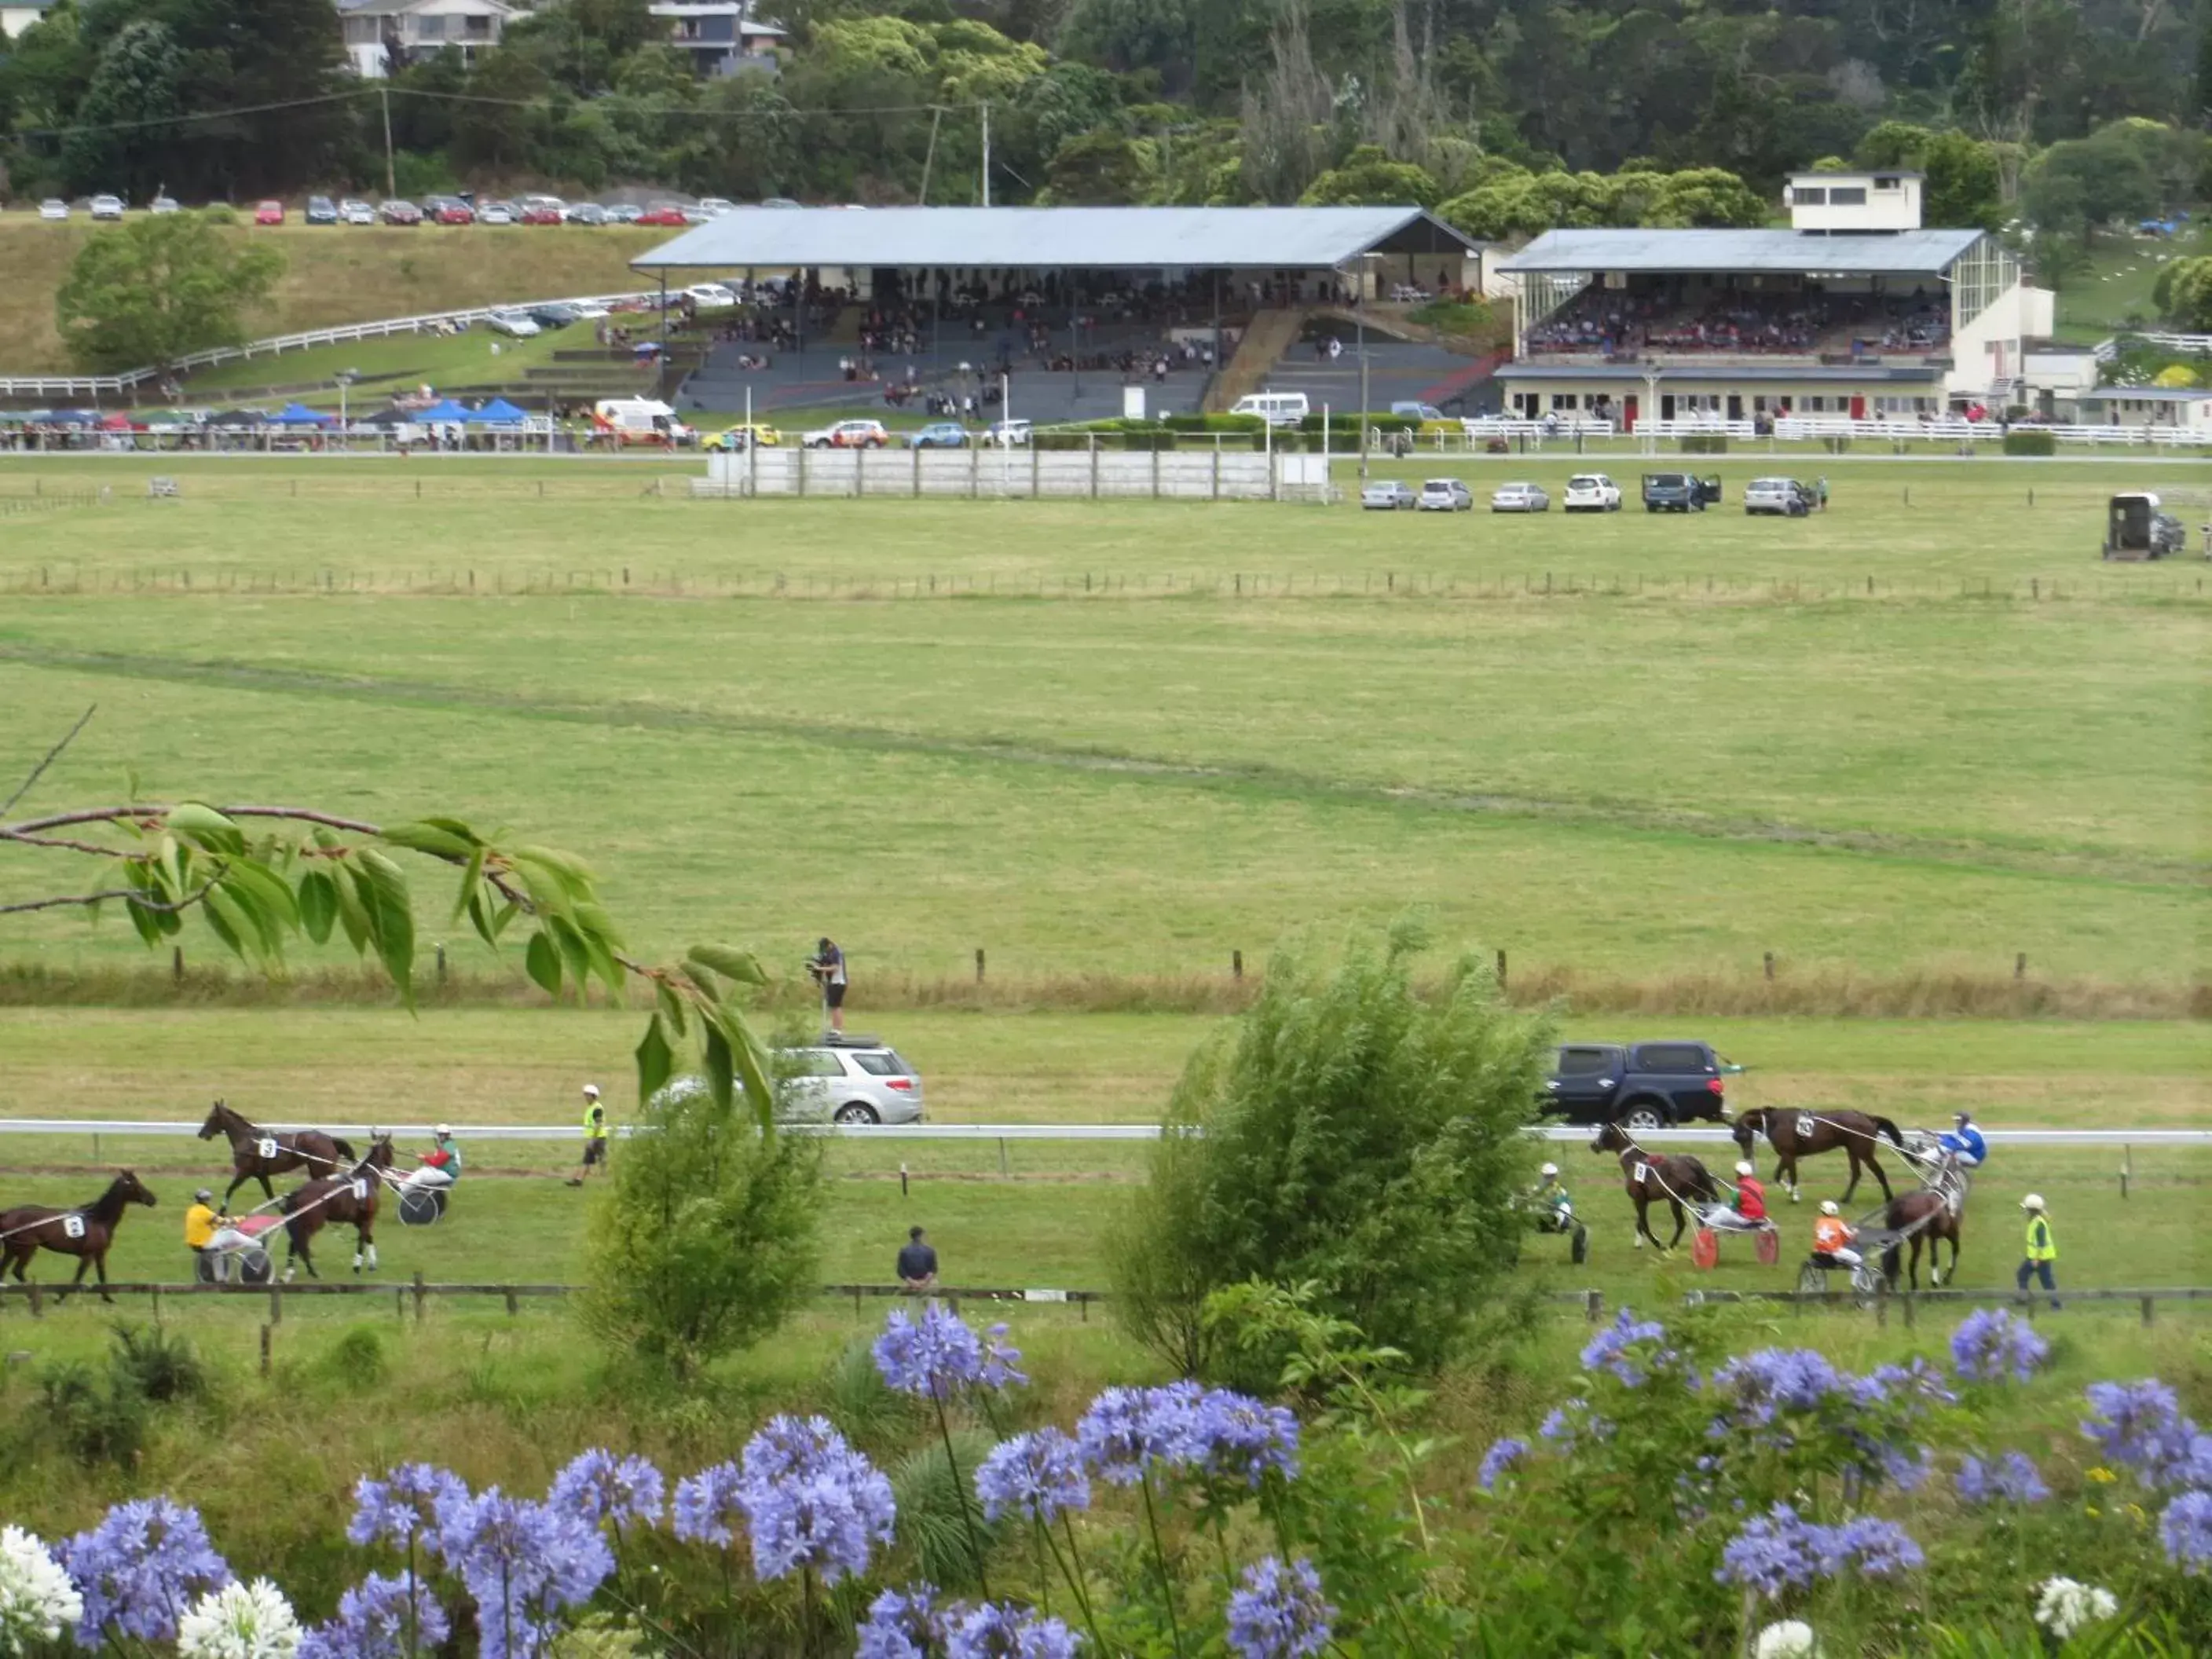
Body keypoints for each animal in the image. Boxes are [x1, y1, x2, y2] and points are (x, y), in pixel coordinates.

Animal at [0, 1177, 158, 1309]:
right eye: (136, 1184)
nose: (153, 1199)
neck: (98, 1220)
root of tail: (7, 1214)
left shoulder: (99, 1253)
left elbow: (102, 1275)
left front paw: (108, 1298)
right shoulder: (88, 1255)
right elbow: (77, 1278)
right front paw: (59, 1299)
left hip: (11, 1248)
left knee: (4, 1269)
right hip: (28, 1248)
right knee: (18, 1271)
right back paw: (32, 1296)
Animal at [201, 1106, 356, 1212]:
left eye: (212, 1117)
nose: (201, 1134)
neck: (249, 1140)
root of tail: (329, 1139)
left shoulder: (244, 1172)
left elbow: (230, 1189)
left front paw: (221, 1212)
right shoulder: (261, 1175)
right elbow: (271, 1196)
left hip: (321, 1169)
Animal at [280, 1141, 394, 1283]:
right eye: (391, 1149)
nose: (392, 1164)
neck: (367, 1179)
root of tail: (297, 1192)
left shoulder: (360, 1221)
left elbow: (368, 1238)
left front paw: (372, 1264)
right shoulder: (368, 1219)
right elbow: (362, 1242)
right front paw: (357, 1267)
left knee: (294, 1244)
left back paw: (289, 1273)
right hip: (311, 1224)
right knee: (300, 1244)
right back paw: (313, 1272)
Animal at [1592, 1123, 1725, 1256]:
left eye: (1604, 1133)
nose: (1593, 1145)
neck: (1635, 1162)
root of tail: (1692, 1164)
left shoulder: (1639, 1199)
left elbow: (1644, 1224)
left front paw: (1657, 1243)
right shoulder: (1645, 1201)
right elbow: (1640, 1222)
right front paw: (1638, 1244)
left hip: (1675, 1201)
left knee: (1682, 1224)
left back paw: (1672, 1245)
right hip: (1699, 1196)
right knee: (1703, 1220)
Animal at [1725, 1119, 1902, 1212]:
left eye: (1741, 1135)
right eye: (1736, 1137)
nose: (1747, 1155)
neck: (1776, 1120)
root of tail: (1868, 1117)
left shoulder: (1788, 1154)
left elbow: (1792, 1175)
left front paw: (1794, 1196)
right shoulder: (1787, 1154)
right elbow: (1778, 1175)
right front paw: (1791, 1192)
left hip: (1863, 1152)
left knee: (1879, 1172)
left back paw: (1889, 1198)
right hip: (1852, 1151)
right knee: (1856, 1173)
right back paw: (1846, 1198)